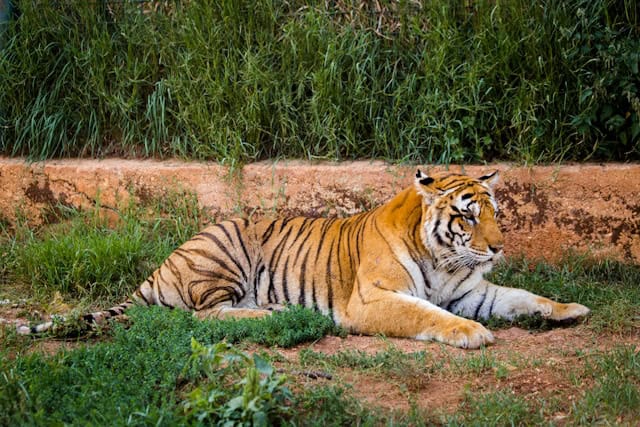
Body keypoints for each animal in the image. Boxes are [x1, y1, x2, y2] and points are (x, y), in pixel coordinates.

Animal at [18, 170, 590, 348]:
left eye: (495, 213)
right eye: (467, 218)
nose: (497, 247)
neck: (445, 261)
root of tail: (159, 268)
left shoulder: (473, 291)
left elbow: (521, 296)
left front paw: (570, 310)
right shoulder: (372, 300)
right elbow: (426, 314)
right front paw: (470, 333)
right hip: (224, 254)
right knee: (201, 316)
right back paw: (269, 313)